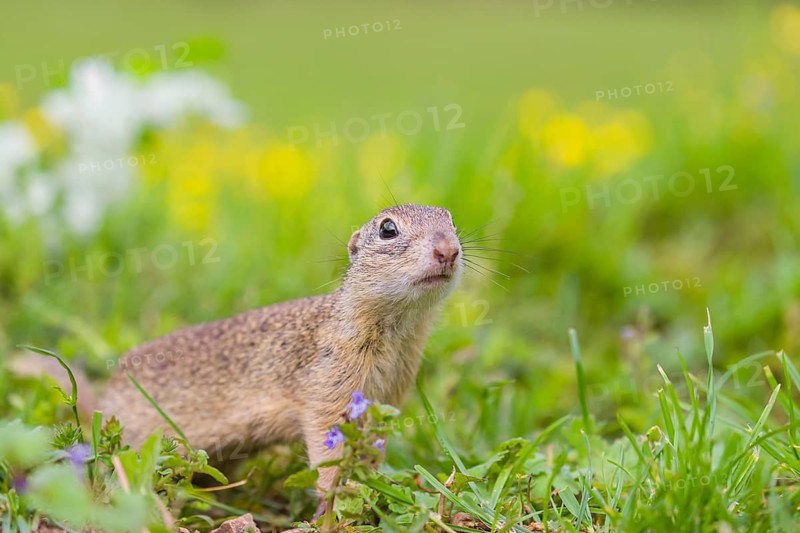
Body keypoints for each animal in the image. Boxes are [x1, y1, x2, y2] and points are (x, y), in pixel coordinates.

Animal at [97, 203, 463, 498]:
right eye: (388, 229)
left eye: (452, 221)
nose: (448, 250)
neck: (396, 334)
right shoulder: (328, 390)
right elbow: (327, 450)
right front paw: (338, 497)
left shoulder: (389, 395)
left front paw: (375, 487)